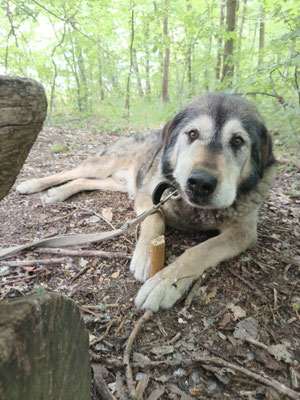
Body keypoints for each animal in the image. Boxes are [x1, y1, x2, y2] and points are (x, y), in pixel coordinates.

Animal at [16, 94, 276, 312]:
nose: (200, 183)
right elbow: (155, 219)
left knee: (83, 180)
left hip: (121, 183)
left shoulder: (243, 232)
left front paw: (164, 283)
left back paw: (59, 192)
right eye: (192, 134)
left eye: (238, 141)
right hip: (106, 165)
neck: (193, 209)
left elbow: (200, 251)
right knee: (73, 171)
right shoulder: (148, 197)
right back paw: (35, 185)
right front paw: (148, 257)